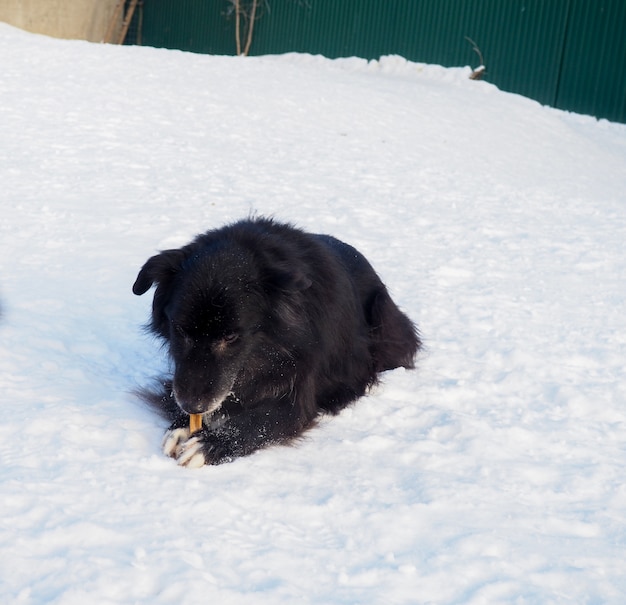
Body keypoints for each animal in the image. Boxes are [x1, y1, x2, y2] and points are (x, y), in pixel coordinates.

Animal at [133, 217, 420, 468]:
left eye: (231, 337)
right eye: (179, 329)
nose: (193, 406)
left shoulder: (296, 390)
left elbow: (260, 420)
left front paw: (209, 444)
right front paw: (182, 425)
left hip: (383, 317)